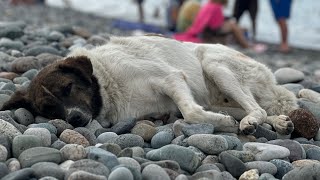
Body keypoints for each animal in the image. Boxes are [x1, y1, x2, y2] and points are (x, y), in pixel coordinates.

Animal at [1, 35, 298, 134]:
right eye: (49, 109)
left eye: (68, 88)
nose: (74, 119)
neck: (108, 84)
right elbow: (189, 111)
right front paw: (223, 122)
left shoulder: (171, 78)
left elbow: (190, 112)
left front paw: (223, 125)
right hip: (217, 95)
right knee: (257, 109)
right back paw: (276, 122)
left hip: (215, 65)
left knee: (257, 108)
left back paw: (249, 121)